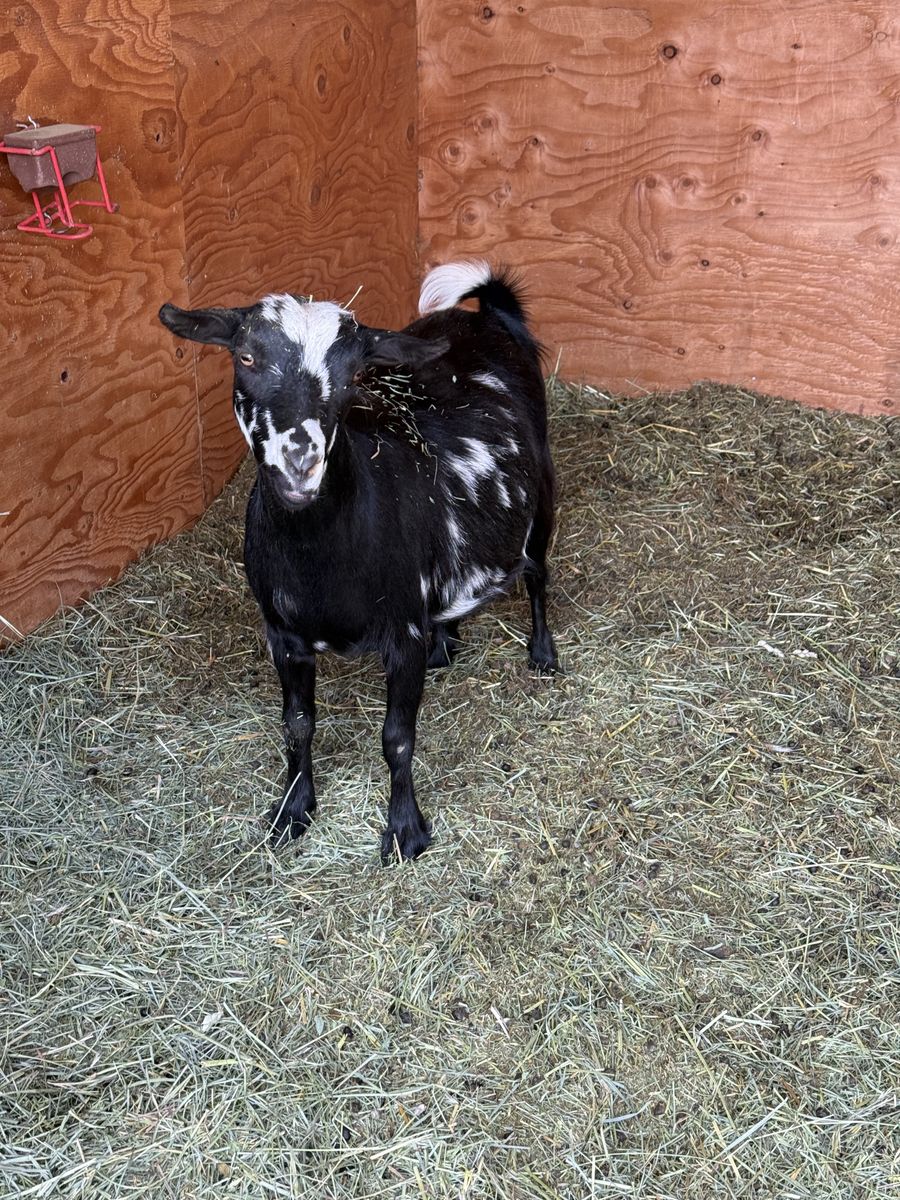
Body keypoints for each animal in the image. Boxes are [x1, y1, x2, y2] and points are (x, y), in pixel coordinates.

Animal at [158, 261, 558, 862]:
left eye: (352, 375)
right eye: (246, 357)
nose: (300, 461)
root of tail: (486, 314)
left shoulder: (402, 632)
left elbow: (397, 738)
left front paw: (406, 831)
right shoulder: (283, 634)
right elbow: (297, 725)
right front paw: (292, 812)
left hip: (544, 496)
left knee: (538, 575)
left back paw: (543, 654)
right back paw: (447, 644)